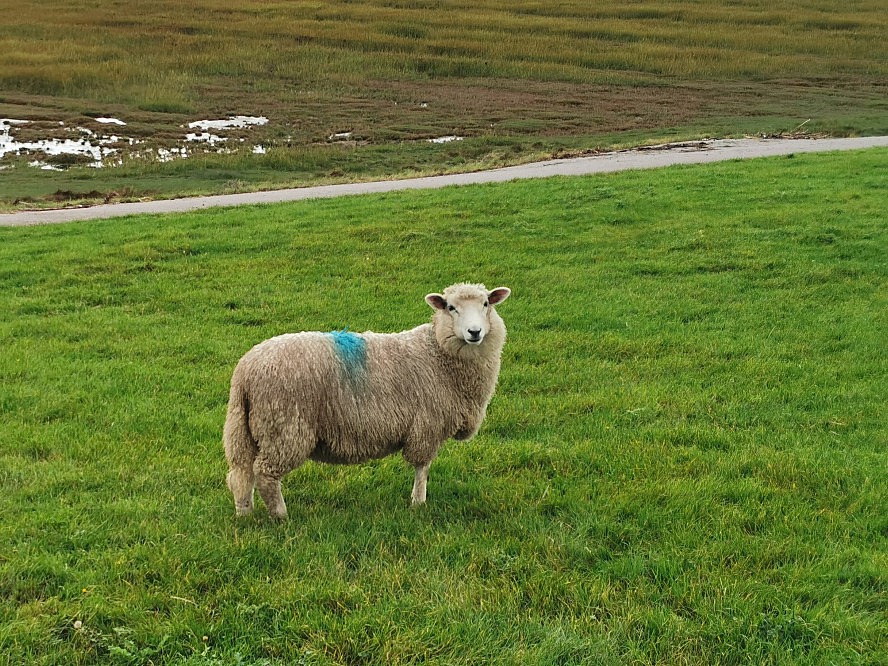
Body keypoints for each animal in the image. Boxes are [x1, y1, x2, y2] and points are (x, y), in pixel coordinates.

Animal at [222, 282, 510, 516]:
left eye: (486, 304)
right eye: (451, 307)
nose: (475, 332)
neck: (437, 351)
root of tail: (246, 370)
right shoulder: (427, 424)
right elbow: (422, 468)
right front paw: (418, 503)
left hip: (243, 428)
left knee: (240, 474)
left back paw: (245, 514)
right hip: (284, 427)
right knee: (264, 474)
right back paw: (281, 516)